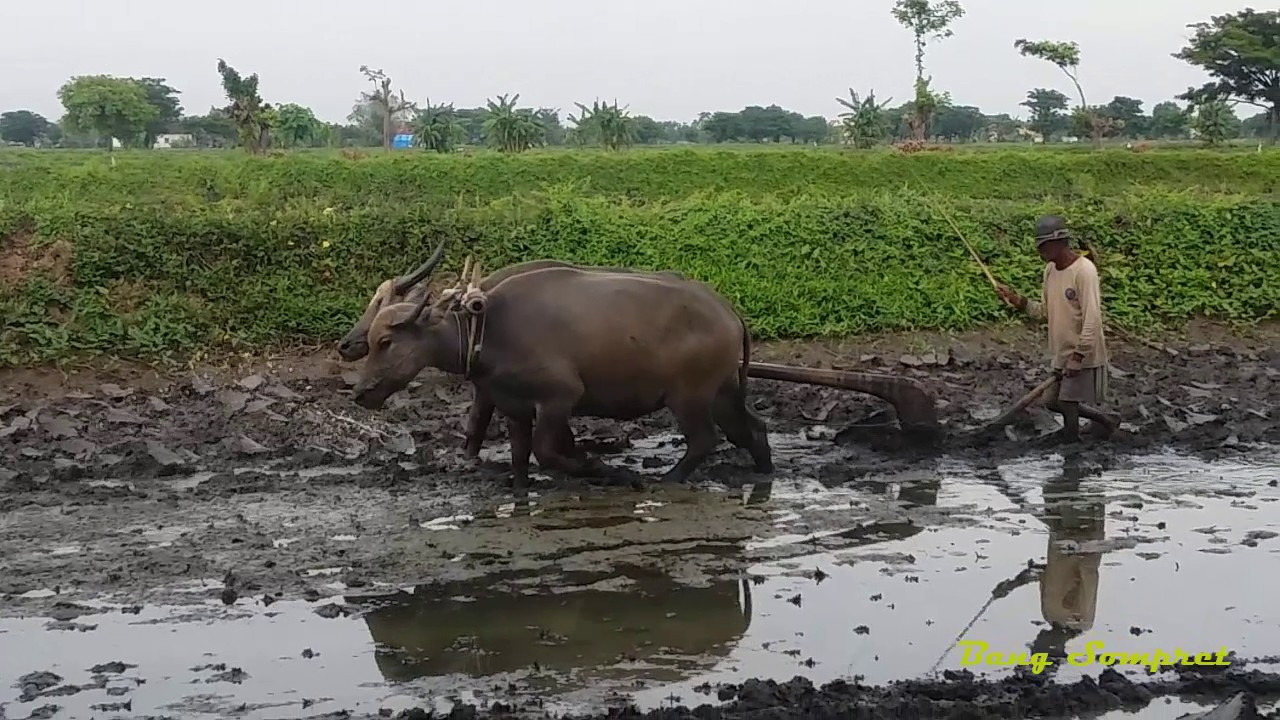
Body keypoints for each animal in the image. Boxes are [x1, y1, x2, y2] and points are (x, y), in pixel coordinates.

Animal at [348, 260, 768, 489]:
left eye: (385, 340)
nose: (361, 393)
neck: (489, 328)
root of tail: (728, 312)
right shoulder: (513, 406)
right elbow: (520, 457)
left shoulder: (558, 400)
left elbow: (547, 452)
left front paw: (607, 471)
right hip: (722, 391)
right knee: (750, 429)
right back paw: (764, 473)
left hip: (689, 397)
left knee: (704, 440)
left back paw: (666, 480)